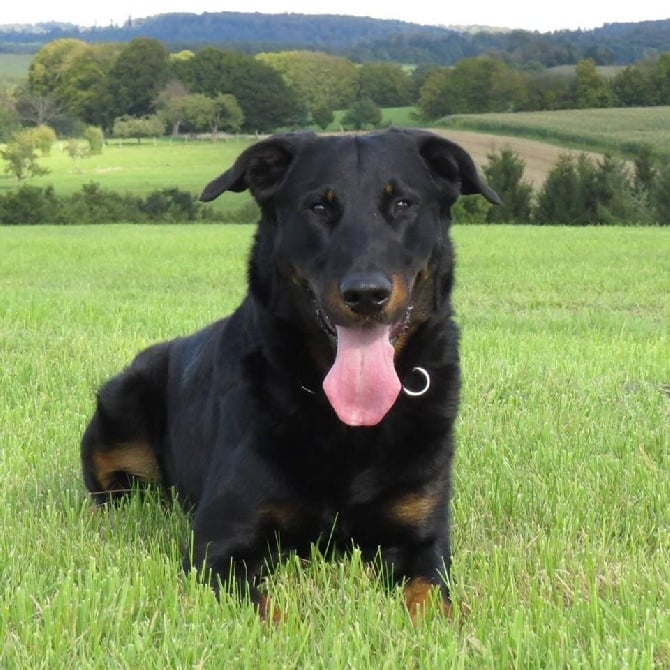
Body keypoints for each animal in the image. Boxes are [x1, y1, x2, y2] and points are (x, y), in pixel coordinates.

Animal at [80, 129, 498, 624]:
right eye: (318, 207)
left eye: (402, 204)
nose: (366, 294)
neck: (344, 422)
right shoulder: (221, 545)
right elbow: (267, 616)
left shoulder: (423, 541)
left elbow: (433, 604)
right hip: (119, 408)